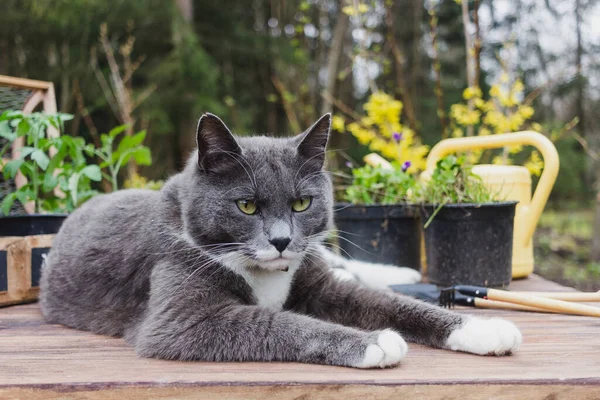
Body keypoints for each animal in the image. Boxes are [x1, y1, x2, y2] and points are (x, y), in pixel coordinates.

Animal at [39, 113, 524, 368]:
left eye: (302, 203)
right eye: (246, 206)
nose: (281, 241)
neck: (265, 273)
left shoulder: (319, 281)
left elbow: (390, 303)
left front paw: (481, 327)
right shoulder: (178, 319)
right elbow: (278, 322)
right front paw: (373, 343)